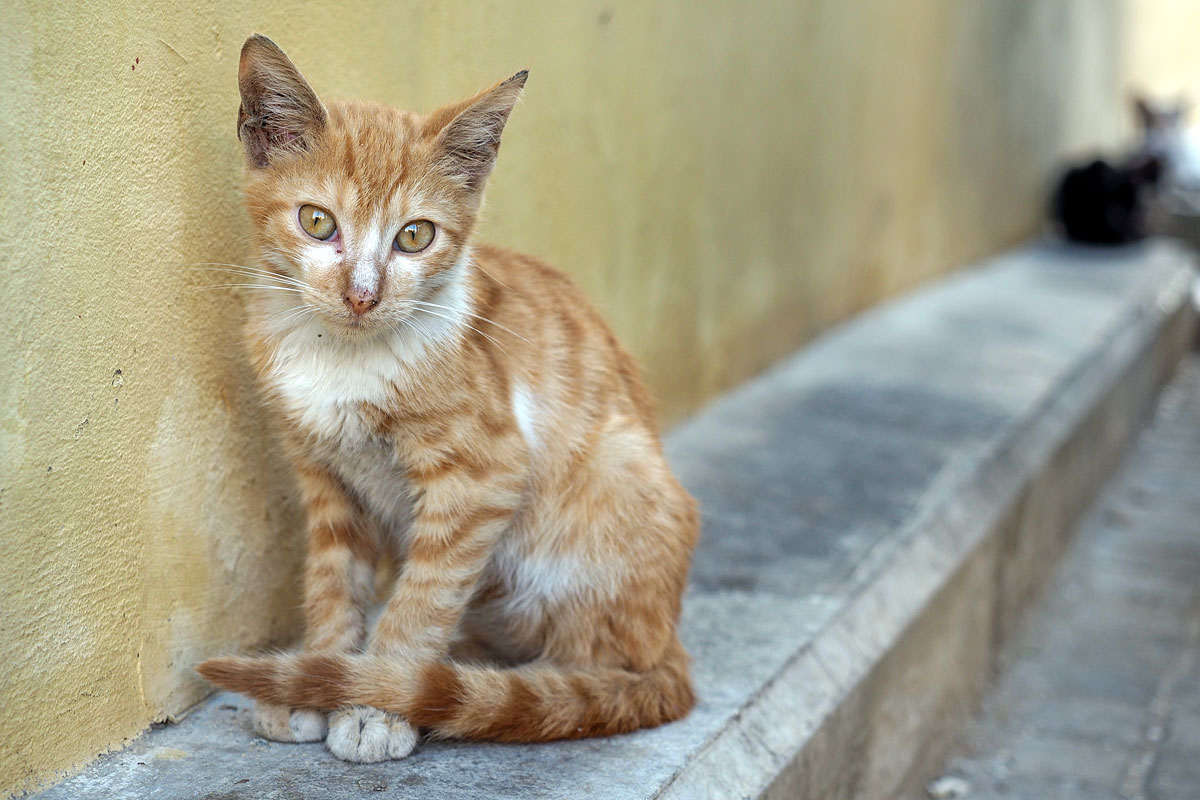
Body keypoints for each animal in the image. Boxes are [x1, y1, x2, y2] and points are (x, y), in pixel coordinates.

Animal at [196, 35, 700, 762]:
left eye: (415, 235)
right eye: (317, 223)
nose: (362, 294)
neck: (341, 356)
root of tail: (670, 642)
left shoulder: (486, 473)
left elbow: (423, 595)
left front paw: (376, 702)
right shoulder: (325, 477)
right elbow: (332, 582)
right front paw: (318, 674)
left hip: (611, 483)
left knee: (590, 668)